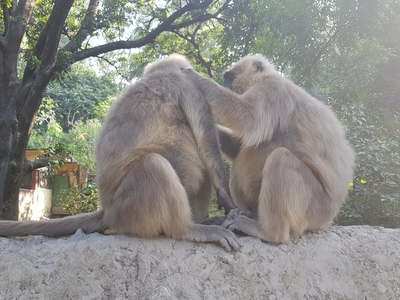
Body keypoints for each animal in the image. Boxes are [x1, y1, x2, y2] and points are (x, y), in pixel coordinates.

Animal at [0, 53, 241, 251]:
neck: (161, 72)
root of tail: (109, 211)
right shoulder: (187, 86)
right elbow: (208, 146)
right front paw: (230, 202)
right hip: (131, 208)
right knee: (154, 165)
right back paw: (187, 229)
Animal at [181, 54, 354, 244]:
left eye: (228, 78)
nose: (225, 85)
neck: (264, 79)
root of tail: (329, 216)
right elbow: (238, 147)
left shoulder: (272, 90)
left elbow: (249, 120)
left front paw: (195, 78)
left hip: (314, 207)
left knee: (280, 158)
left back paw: (268, 232)